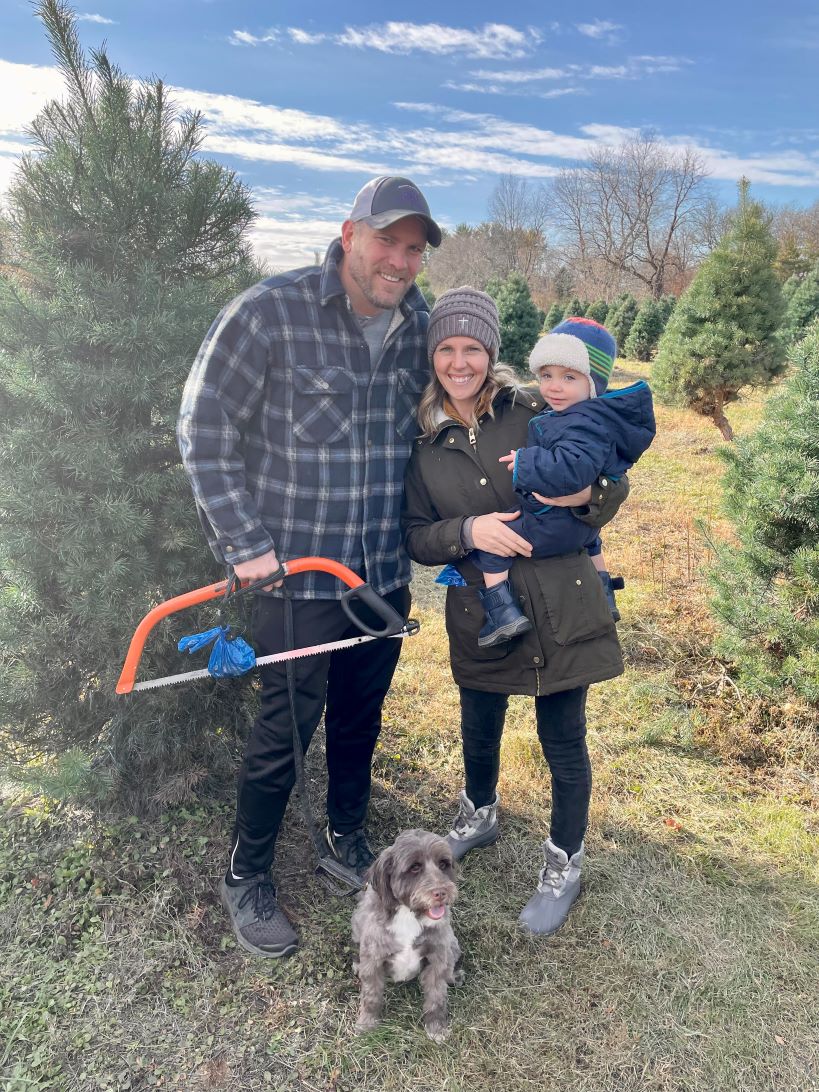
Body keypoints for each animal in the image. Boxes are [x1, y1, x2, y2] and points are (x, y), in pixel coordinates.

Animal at [353, 825, 465, 1039]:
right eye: (415, 867)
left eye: (443, 864)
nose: (442, 892)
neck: (409, 915)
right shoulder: (373, 960)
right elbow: (371, 995)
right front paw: (367, 1023)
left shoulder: (437, 957)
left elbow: (437, 997)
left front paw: (436, 1026)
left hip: (452, 943)